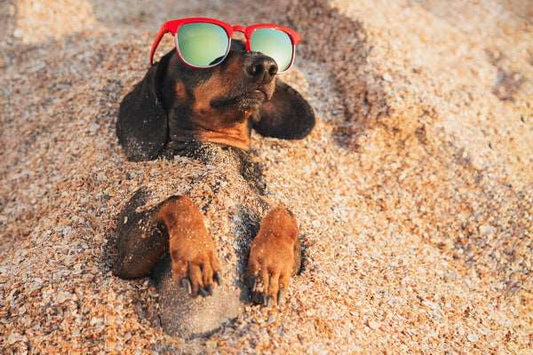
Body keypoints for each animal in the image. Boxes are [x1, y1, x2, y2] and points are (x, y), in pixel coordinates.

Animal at [111, 40, 312, 338]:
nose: (266, 65)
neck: (217, 150)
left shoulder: (297, 257)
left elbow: (283, 212)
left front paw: (270, 267)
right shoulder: (126, 258)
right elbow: (178, 200)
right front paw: (196, 254)